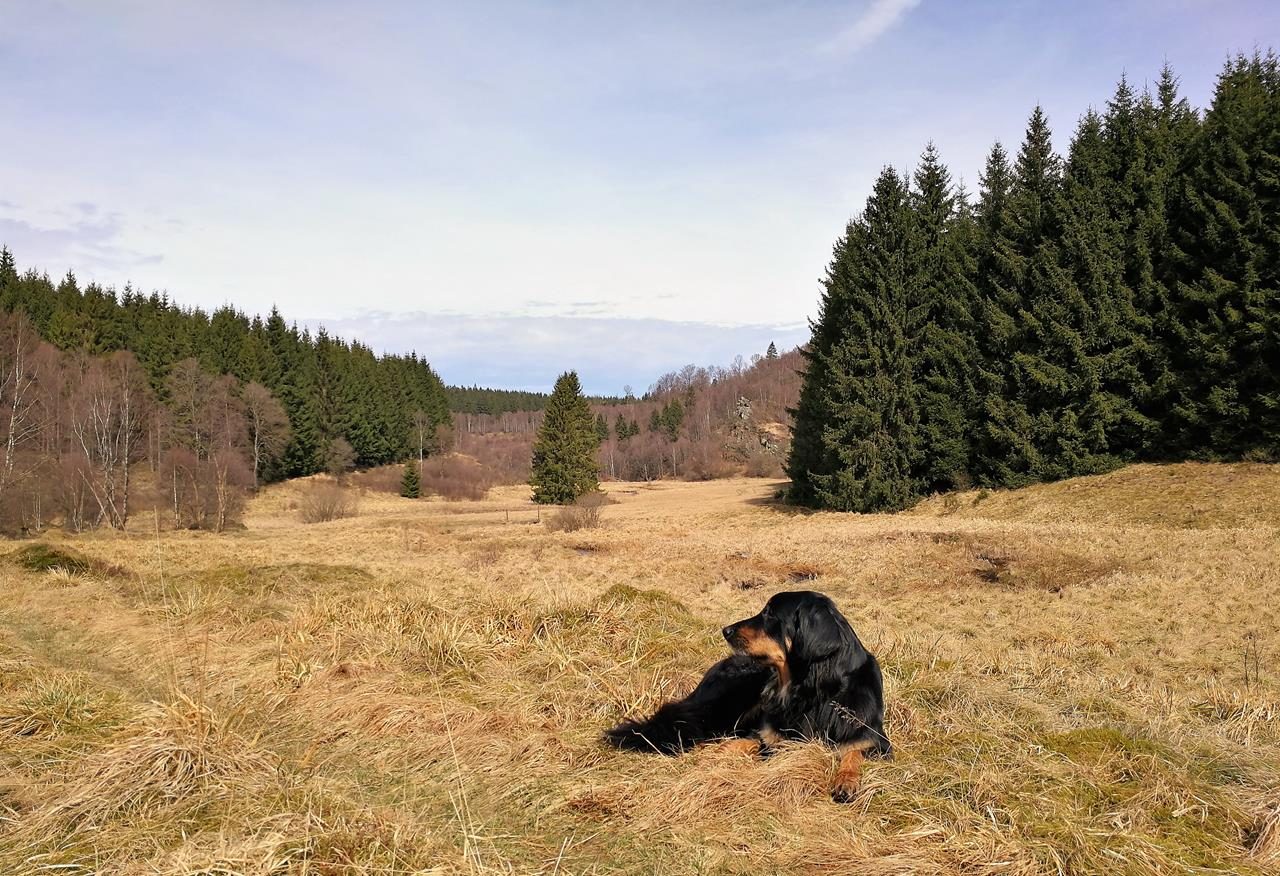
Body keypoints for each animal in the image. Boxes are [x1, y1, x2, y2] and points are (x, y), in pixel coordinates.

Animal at [601, 591, 890, 804]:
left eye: (770, 613)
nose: (725, 630)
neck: (811, 694)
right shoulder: (769, 736)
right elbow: (746, 742)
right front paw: (714, 754)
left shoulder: (875, 740)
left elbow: (854, 752)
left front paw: (846, 780)